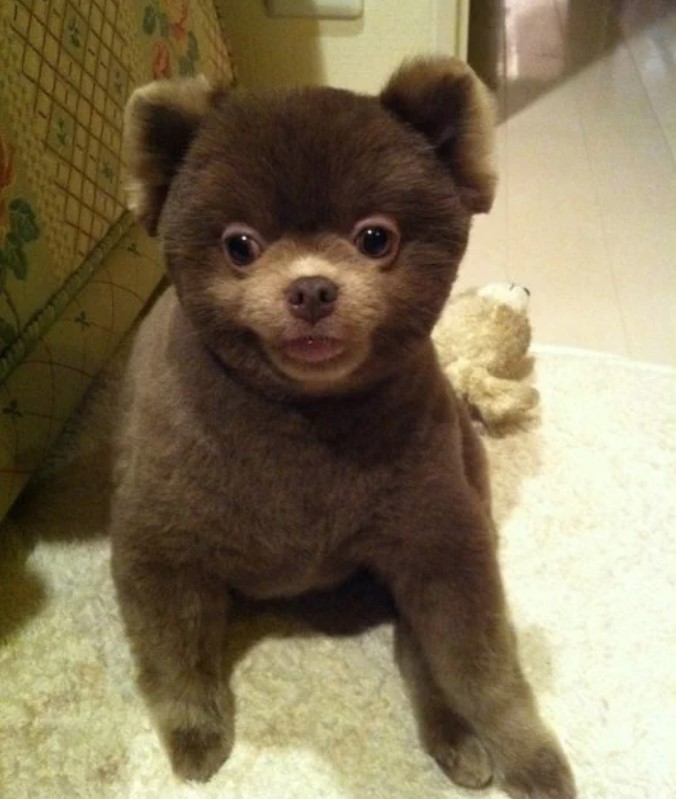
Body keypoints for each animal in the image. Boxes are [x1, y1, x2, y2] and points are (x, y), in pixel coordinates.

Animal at [111, 59, 576, 796]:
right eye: (239, 245)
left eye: (375, 237)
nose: (311, 289)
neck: (306, 420)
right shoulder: (159, 546)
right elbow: (173, 654)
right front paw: (195, 733)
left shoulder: (441, 542)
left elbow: (484, 668)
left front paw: (527, 752)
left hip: (462, 478)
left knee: (418, 643)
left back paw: (457, 733)